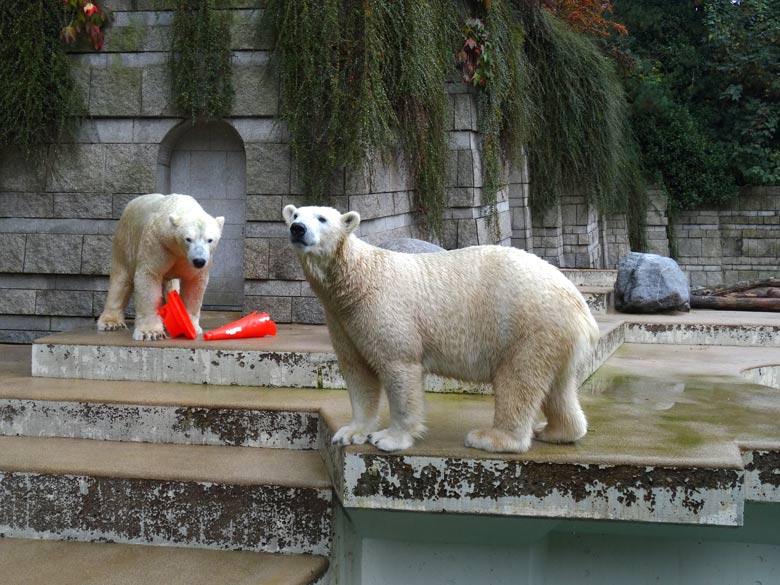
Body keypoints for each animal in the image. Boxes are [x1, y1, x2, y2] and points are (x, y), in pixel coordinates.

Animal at [98, 194, 222, 340]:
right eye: (188, 239)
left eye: (210, 240)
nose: (199, 261)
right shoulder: (157, 245)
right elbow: (149, 277)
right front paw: (150, 333)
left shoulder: (188, 259)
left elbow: (194, 283)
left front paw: (192, 327)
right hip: (125, 239)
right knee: (121, 278)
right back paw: (110, 323)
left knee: (171, 287)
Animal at [284, 204, 600, 452]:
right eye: (295, 214)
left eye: (322, 218)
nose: (297, 229)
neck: (357, 278)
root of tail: (581, 307)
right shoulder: (342, 319)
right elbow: (357, 371)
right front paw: (350, 432)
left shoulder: (383, 311)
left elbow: (398, 367)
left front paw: (388, 438)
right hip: (554, 337)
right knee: (559, 386)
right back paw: (555, 431)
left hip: (527, 325)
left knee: (518, 379)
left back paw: (490, 438)